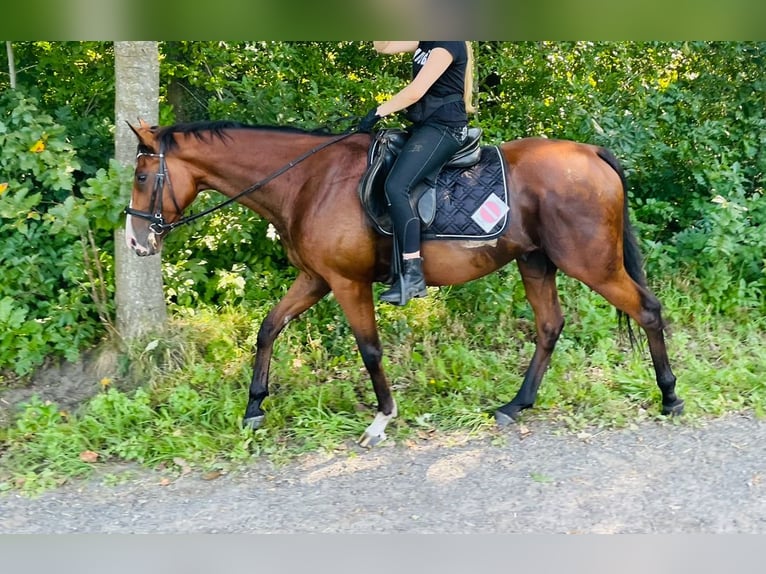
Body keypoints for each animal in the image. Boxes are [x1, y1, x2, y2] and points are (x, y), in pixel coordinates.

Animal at [124, 119, 684, 448]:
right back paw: (515, 405)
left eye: (142, 177)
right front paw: (254, 407)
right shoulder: (315, 278)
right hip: (536, 261)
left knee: (648, 310)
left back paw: (670, 397)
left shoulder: (347, 282)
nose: (135, 242)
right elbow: (268, 328)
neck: (306, 181)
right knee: (550, 326)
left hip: (591, 263)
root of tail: (591, 152)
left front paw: (382, 417)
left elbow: (369, 349)